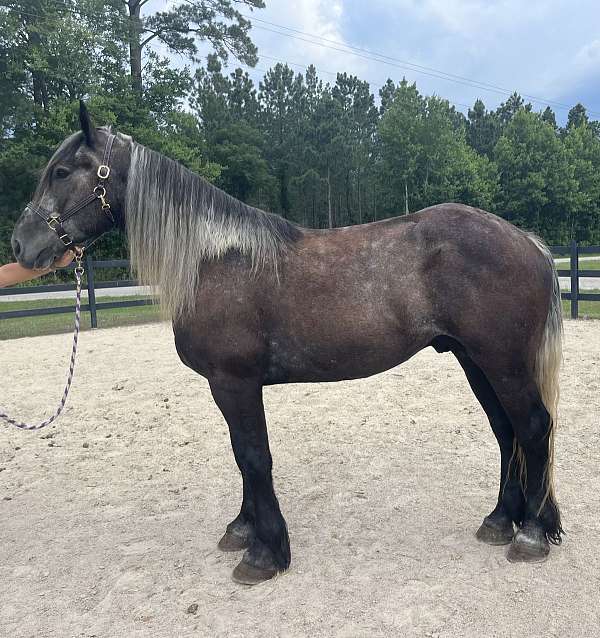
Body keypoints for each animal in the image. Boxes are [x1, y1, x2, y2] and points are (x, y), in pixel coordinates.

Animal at [9, 104, 564, 584]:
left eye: (62, 172)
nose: (21, 245)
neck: (214, 261)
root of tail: (528, 243)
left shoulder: (234, 382)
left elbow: (255, 457)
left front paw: (264, 553)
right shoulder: (227, 387)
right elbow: (242, 456)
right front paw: (243, 530)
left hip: (503, 362)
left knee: (533, 427)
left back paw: (532, 535)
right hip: (475, 360)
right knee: (507, 432)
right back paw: (501, 521)